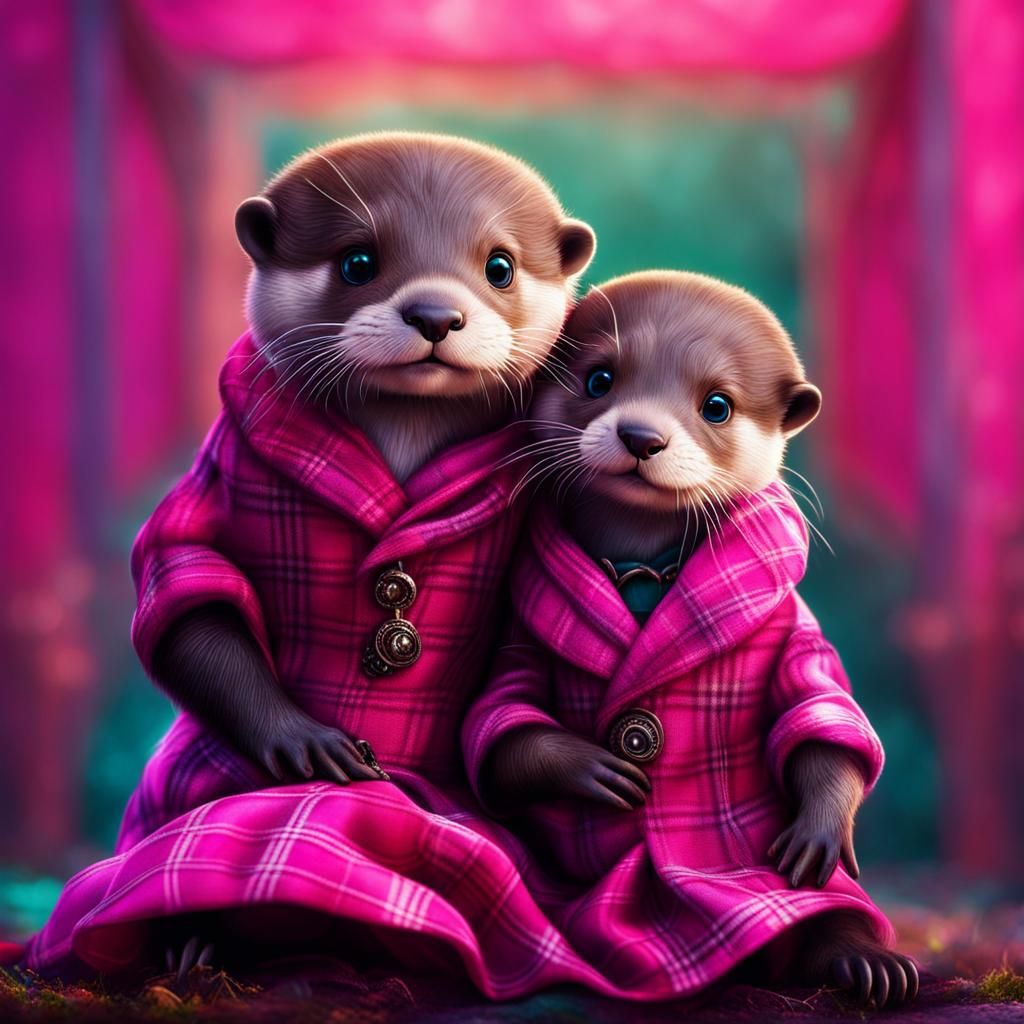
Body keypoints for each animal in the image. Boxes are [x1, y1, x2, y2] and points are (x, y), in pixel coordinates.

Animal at [470, 271, 918, 1008]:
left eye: (717, 405)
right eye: (599, 378)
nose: (641, 435)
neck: (640, 564)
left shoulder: (791, 627)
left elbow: (819, 709)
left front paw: (821, 827)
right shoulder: (519, 634)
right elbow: (504, 712)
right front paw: (587, 766)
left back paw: (864, 959)